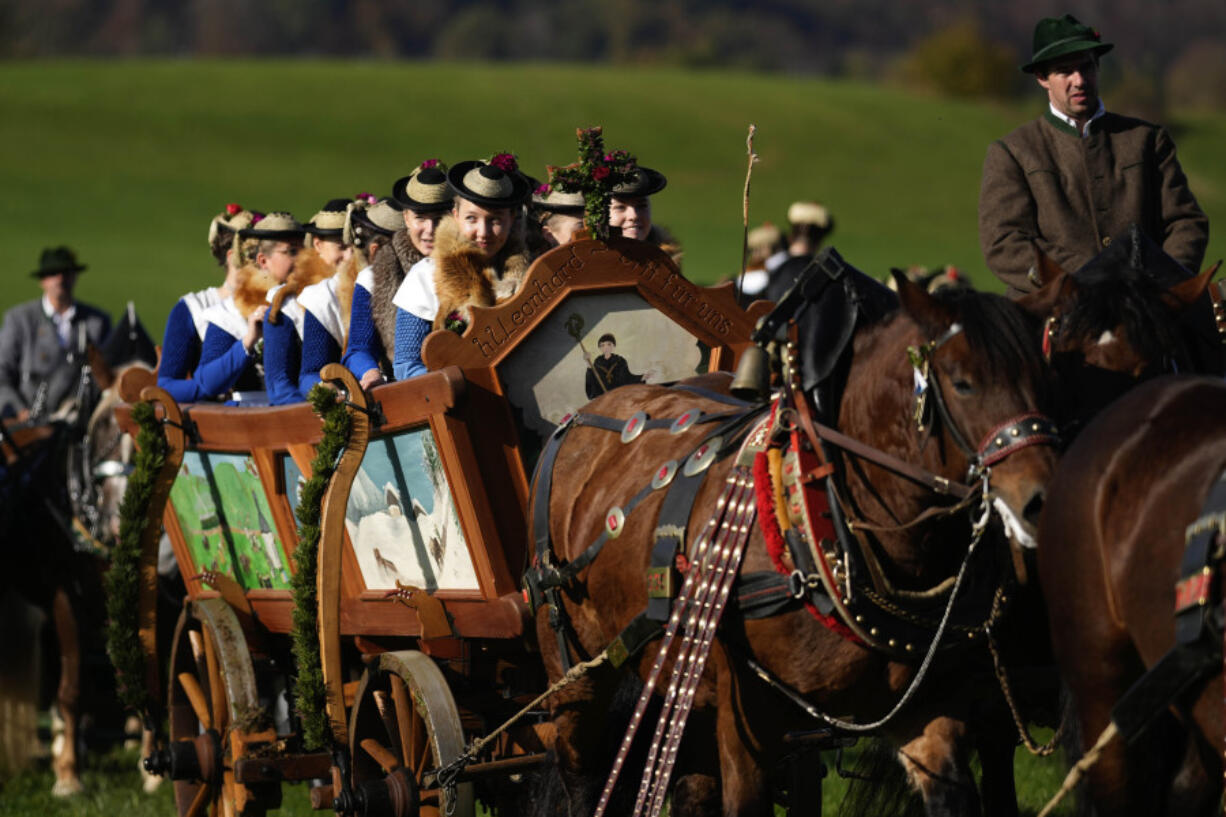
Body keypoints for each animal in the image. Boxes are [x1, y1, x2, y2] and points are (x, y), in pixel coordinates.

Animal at [532, 268, 1059, 814]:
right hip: (575, 667)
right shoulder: (747, 724)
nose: (1042, 499)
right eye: (962, 383)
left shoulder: (929, 711)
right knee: (580, 767)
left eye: (1047, 380)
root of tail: (584, 414)